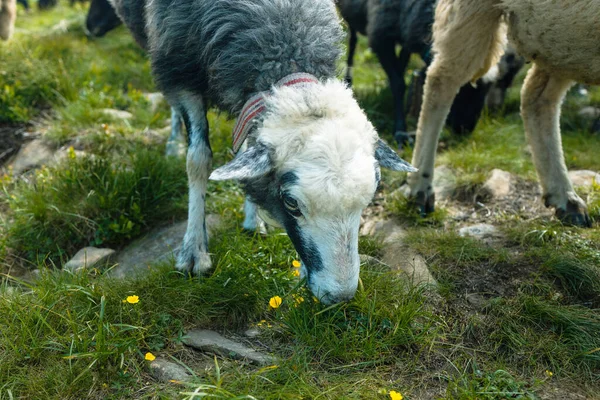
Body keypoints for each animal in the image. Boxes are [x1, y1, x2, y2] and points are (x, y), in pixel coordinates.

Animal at [101, 0, 414, 304]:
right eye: (291, 203)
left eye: (369, 199)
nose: (340, 296)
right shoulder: (180, 74)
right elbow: (198, 160)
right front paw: (193, 251)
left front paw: (253, 219)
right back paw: (173, 144)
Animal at [406, 0, 596, 227]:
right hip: (474, 9)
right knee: (440, 82)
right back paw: (421, 188)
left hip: (562, 37)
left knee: (535, 96)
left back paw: (565, 199)